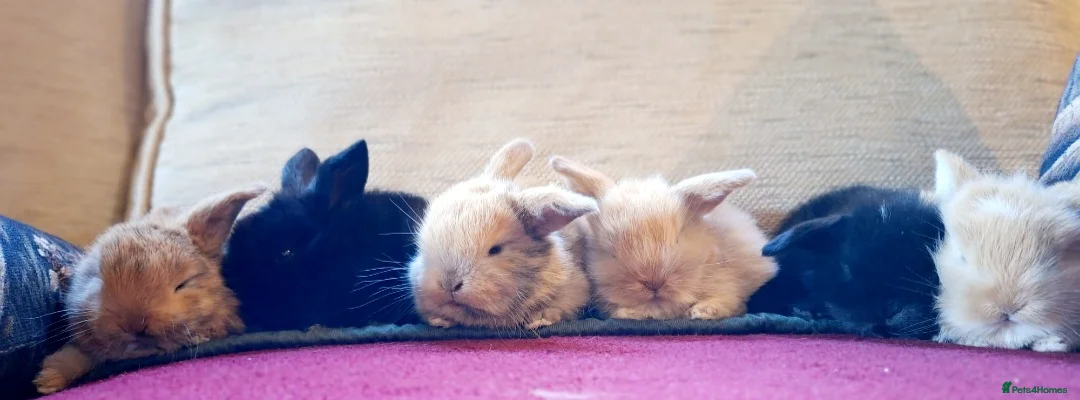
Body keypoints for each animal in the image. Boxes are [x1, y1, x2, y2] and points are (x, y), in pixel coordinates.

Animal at [548, 156, 777, 320]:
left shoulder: (728, 283)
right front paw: (628, 313)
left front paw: (701, 312)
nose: (654, 283)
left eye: (678, 238)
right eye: (609, 250)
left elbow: (728, 300)